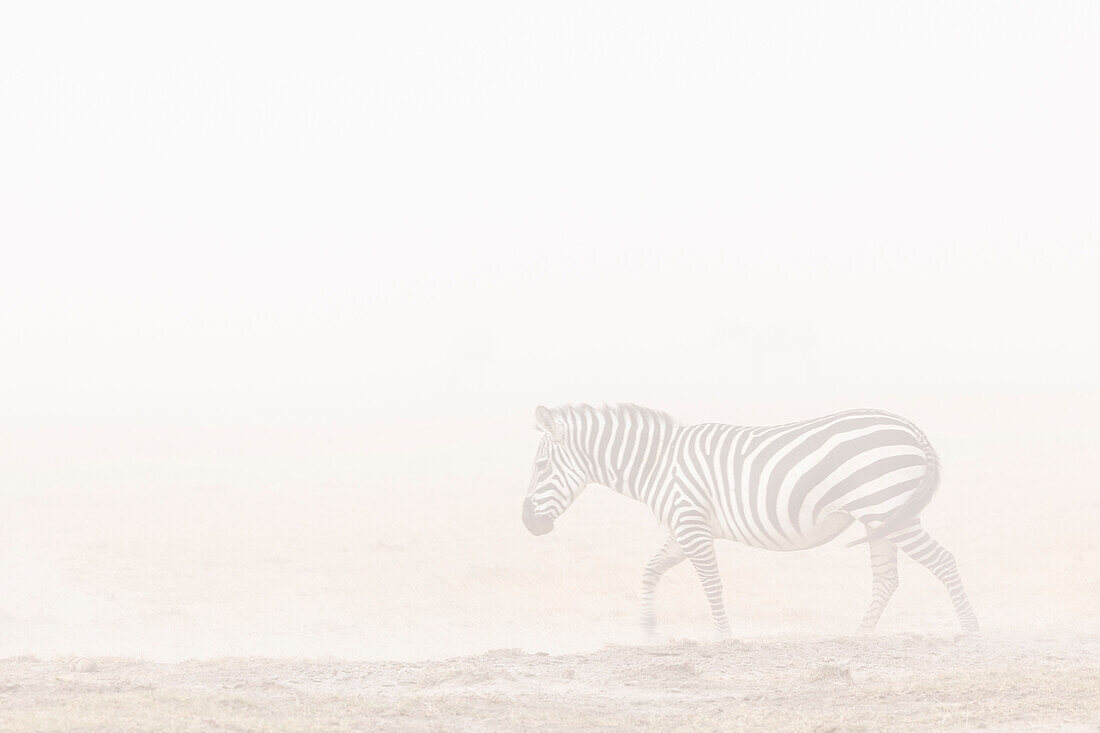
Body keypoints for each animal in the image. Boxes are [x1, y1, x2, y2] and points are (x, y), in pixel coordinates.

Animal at [523, 402, 981, 638]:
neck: (658, 464)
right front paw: (649, 629)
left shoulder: (691, 524)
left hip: (890, 511)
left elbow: (710, 582)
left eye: (541, 467)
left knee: (944, 561)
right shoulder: (683, 527)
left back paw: (970, 630)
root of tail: (909, 426)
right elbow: (650, 570)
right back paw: (858, 635)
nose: (528, 525)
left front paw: (726, 638)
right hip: (879, 518)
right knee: (887, 578)